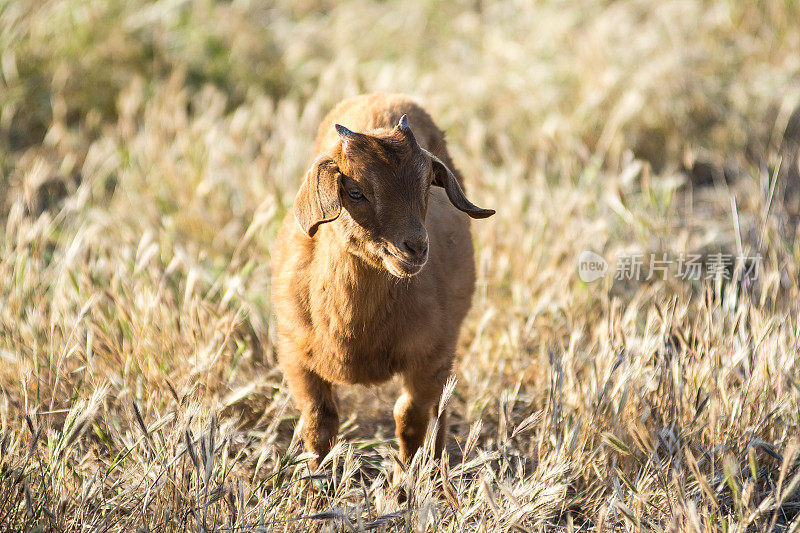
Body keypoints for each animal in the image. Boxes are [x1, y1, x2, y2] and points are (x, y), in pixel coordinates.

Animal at [270, 93, 494, 472]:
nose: (415, 248)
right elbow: (319, 422)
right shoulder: (295, 356)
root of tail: (385, 97)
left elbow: (411, 418)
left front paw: (409, 482)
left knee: (439, 411)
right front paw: (318, 484)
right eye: (355, 191)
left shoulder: (430, 355)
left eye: (427, 184)